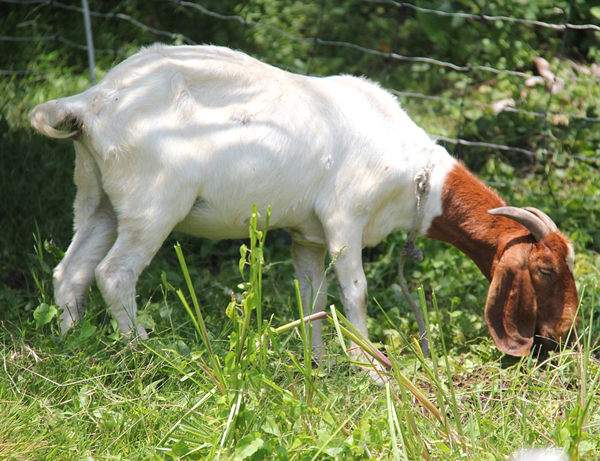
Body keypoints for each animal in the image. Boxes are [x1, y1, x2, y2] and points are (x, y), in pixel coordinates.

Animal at [30, 44, 580, 356]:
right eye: (544, 269)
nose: (566, 332)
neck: (415, 175)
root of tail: (93, 101)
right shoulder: (344, 221)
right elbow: (355, 293)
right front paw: (371, 365)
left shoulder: (307, 236)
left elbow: (312, 297)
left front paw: (319, 362)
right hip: (154, 204)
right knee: (114, 272)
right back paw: (142, 353)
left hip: (97, 197)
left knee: (71, 270)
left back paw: (70, 344)